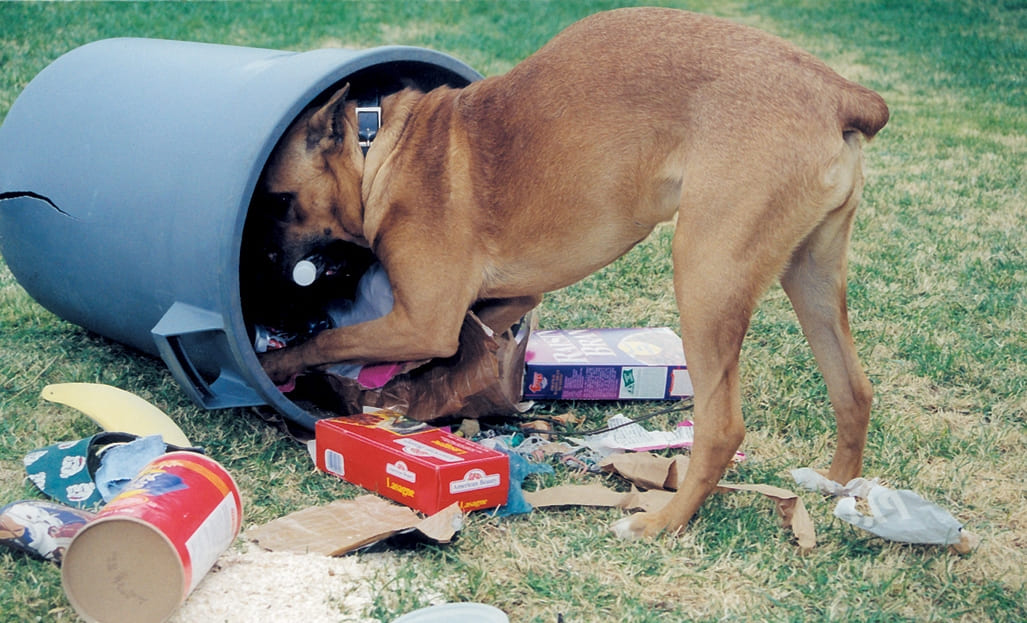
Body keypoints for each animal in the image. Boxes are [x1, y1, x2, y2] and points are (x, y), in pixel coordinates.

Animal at [254, 7, 883, 537]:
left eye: (278, 202)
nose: (268, 284)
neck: (380, 149)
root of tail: (838, 92)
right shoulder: (506, 300)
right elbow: (464, 338)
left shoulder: (420, 321)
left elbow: (327, 342)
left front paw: (280, 364)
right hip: (810, 276)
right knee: (853, 389)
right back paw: (833, 485)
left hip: (707, 277)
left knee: (723, 426)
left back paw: (660, 523)